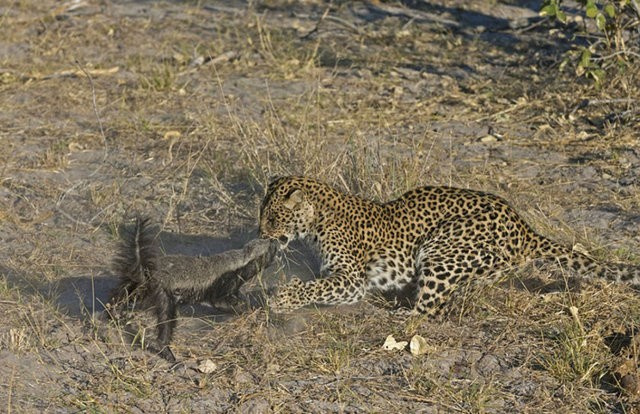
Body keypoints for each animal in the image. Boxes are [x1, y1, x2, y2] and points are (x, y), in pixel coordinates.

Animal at [260, 175, 640, 314]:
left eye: (274, 218)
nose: (260, 235)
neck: (317, 219)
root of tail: (523, 226)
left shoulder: (351, 278)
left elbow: (317, 287)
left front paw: (283, 298)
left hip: (440, 250)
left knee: (428, 311)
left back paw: (397, 311)